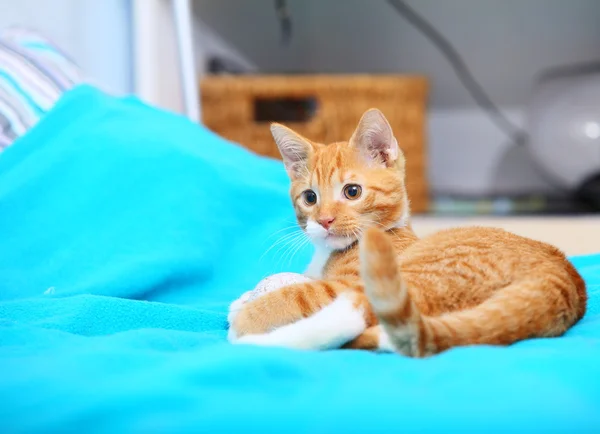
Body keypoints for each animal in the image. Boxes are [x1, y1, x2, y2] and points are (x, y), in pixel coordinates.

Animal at [229, 107, 584, 356]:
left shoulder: (348, 281)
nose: (325, 220)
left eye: (352, 191)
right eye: (310, 198)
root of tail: (562, 277)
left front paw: (249, 311)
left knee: (356, 313)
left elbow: (303, 292)